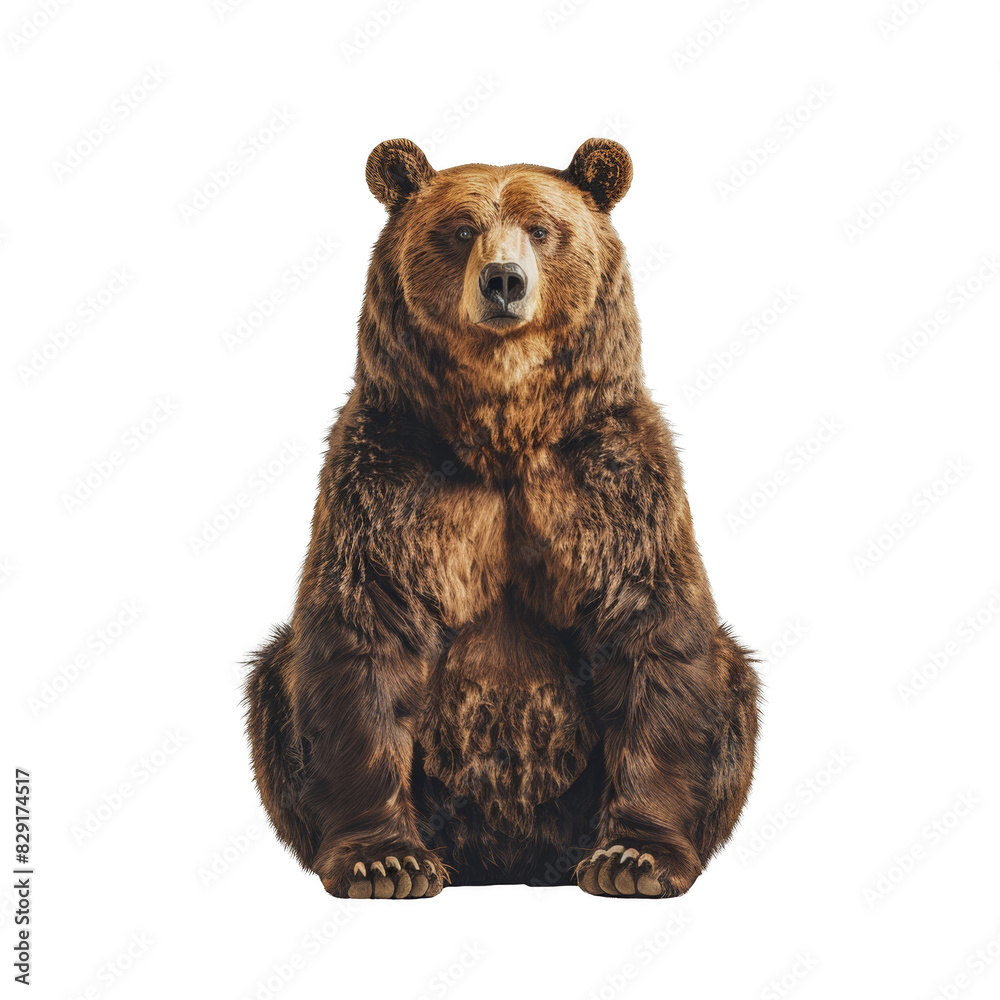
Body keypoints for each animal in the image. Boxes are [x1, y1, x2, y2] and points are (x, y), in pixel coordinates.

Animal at [244, 138, 760, 899]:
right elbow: (364, 635)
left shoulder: (612, 485)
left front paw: (634, 858)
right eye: (461, 229)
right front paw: (385, 861)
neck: (503, 429)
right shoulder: (389, 481)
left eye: (542, 229)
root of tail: (503, 863)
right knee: (273, 681)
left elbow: (652, 633)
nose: (504, 281)